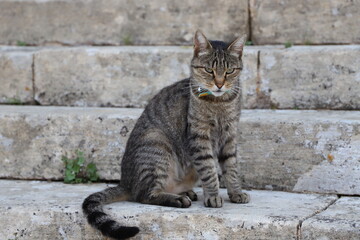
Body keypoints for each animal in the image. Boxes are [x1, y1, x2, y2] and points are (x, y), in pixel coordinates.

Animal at [82, 31, 249, 239]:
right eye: (209, 70)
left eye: (229, 71)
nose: (219, 84)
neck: (220, 103)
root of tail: (125, 181)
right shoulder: (199, 138)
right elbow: (209, 170)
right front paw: (213, 196)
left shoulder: (230, 136)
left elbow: (231, 167)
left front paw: (236, 192)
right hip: (157, 145)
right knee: (144, 195)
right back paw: (177, 199)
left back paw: (185, 193)